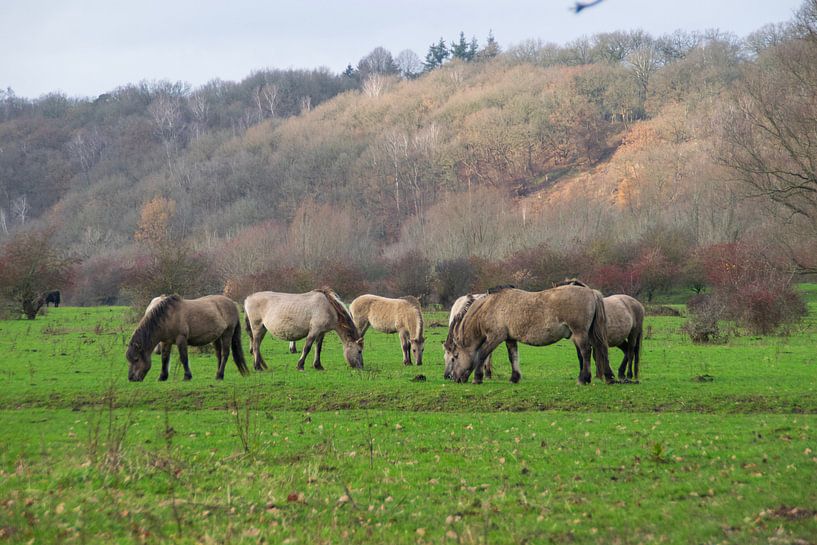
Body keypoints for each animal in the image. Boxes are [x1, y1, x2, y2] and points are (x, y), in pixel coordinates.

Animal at [444, 285, 614, 385]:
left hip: (579, 333)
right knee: (601, 350)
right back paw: (608, 377)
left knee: (586, 352)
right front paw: (514, 378)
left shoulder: (495, 338)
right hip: (590, 333)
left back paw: (583, 379)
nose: (453, 378)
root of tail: (591, 292)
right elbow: (513, 357)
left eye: (454, 357)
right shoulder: (510, 339)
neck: (492, 306)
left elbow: (482, 355)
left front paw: (477, 378)